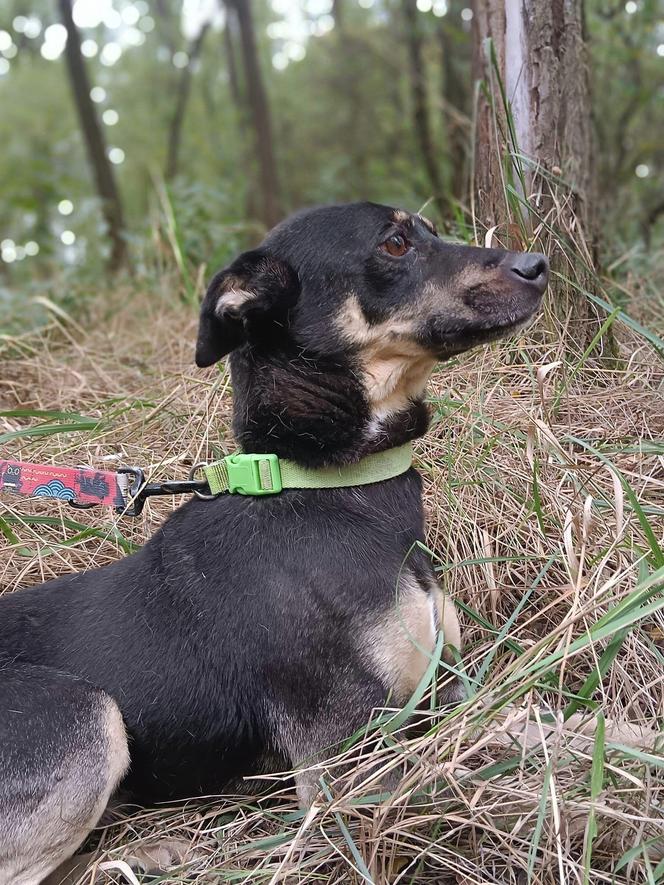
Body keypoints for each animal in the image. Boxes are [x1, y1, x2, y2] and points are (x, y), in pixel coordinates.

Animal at [0, 204, 548, 880]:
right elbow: (473, 771)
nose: (539, 264)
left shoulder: (445, 691)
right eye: (395, 243)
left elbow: (538, 726)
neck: (323, 484)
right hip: (81, 715)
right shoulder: (346, 765)